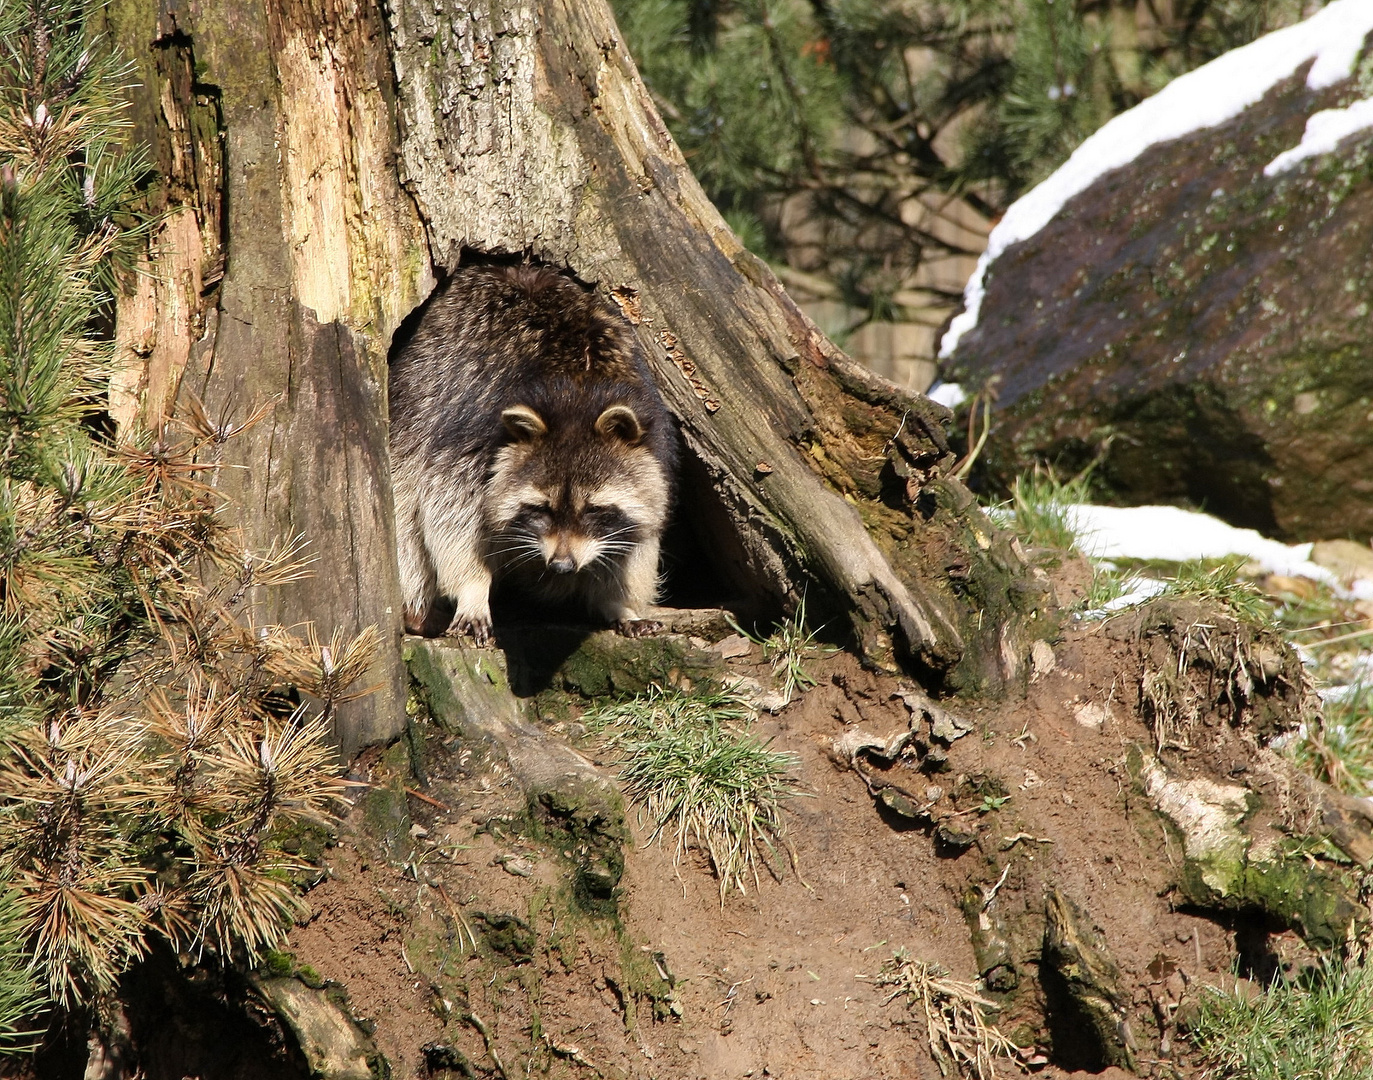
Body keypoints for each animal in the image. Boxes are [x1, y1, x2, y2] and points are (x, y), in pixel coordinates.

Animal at [387, 266, 675, 644]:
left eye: (594, 509)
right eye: (541, 508)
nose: (562, 566)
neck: (578, 390)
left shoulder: (652, 437)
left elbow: (638, 536)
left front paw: (618, 600)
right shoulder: (470, 426)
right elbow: (448, 510)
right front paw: (473, 587)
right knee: (404, 507)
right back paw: (417, 608)